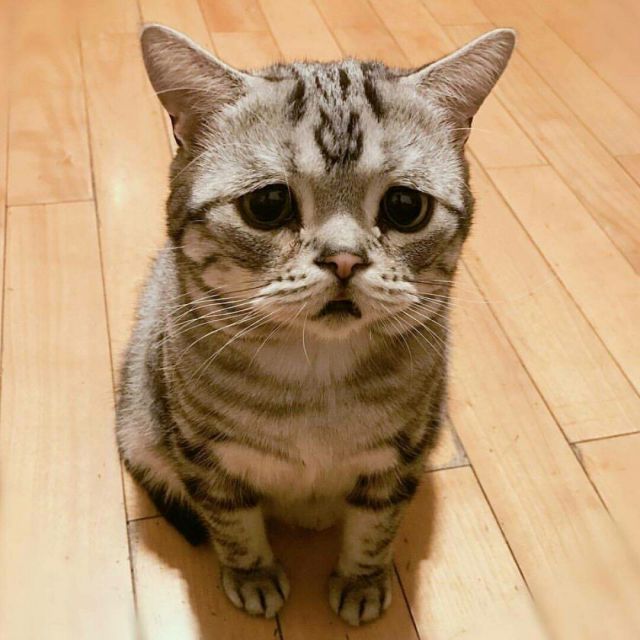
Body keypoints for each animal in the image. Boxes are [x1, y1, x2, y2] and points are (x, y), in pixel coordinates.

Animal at [116, 24, 514, 626]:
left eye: (405, 206)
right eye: (268, 203)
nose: (344, 259)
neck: (316, 383)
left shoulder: (399, 458)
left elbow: (375, 529)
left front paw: (361, 583)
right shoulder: (204, 456)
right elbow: (233, 525)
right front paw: (252, 575)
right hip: (140, 422)